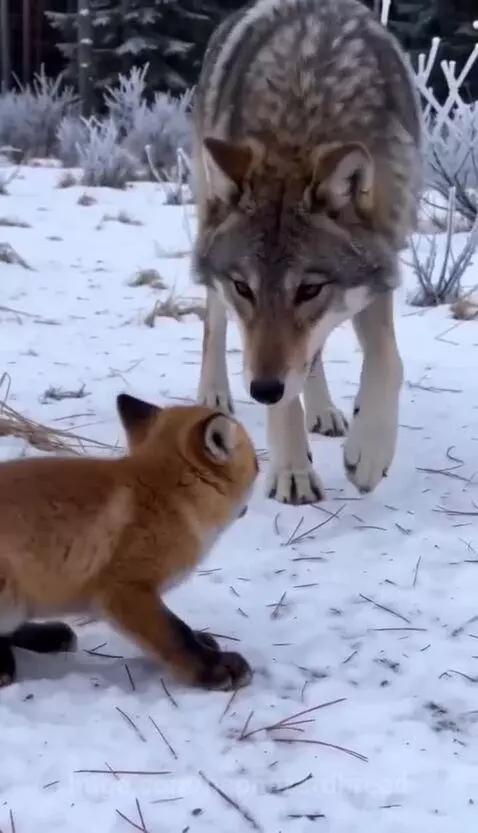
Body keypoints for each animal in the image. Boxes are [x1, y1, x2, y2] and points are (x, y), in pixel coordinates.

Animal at [0, 394, 258, 690]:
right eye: (257, 465)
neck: (168, 495)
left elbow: (181, 630)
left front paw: (203, 642)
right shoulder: (124, 589)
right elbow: (175, 634)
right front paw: (212, 668)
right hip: (8, 594)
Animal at [191, 0, 423, 505]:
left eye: (309, 290)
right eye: (243, 287)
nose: (261, 389)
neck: (304, 115)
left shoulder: (378, 267)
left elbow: (389, 361)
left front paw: (369, 452)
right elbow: (284, 398)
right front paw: (292, 471)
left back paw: (324, 411)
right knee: (213, 322)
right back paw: (214, 394)